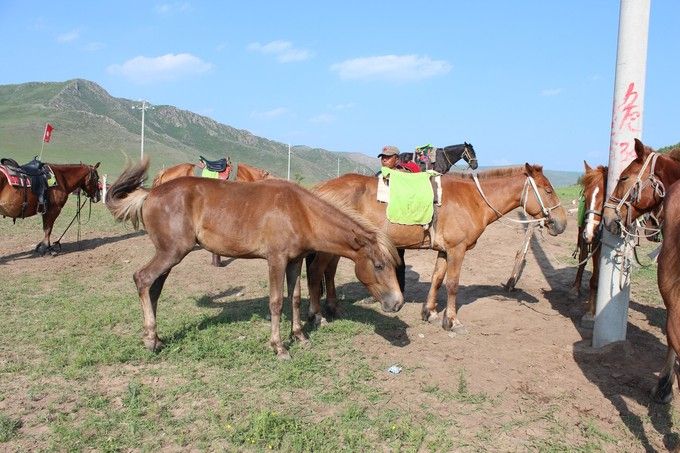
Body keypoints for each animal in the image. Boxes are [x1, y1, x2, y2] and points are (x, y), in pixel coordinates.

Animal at [106, 157, 404, 358]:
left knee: (154, 288)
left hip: (168, 255)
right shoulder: (276, 260)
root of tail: (150, 193)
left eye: (393, 265)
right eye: (379, 265)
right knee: (142, 279)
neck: (299, 212)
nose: (397, 303)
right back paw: (149, 339)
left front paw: (300, 336)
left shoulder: (294, 261)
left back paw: (156, 338)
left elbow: (295, 298)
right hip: (171, 253)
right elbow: (276, 302)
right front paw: (279, 347)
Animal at [310, 164, 568, 330]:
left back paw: (334, 309)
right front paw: (451, 321)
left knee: (328, 272)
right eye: (548, 190)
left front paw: (430, 312)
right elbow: (452, 284)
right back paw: (318, 316)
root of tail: (320, 189)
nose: (562, 223)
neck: (472, 200)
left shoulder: (444, 250)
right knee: (316, 272)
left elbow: (437, 278)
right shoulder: (457, 250)